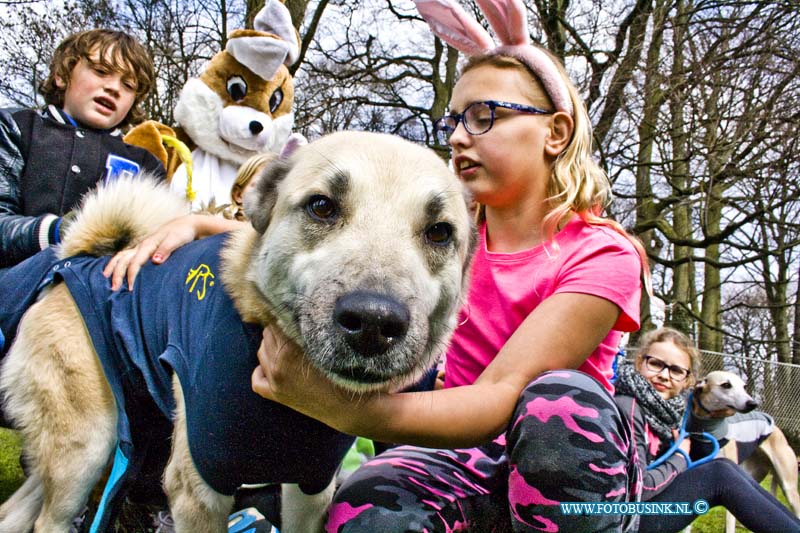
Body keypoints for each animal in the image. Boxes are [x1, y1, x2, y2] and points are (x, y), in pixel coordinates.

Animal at [0, 131, 476, 528]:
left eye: (439, 232)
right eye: (322, 206)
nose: (374, 322)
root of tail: (74, 262)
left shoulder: (311, 486)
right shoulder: (200, 491)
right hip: (87, 448)